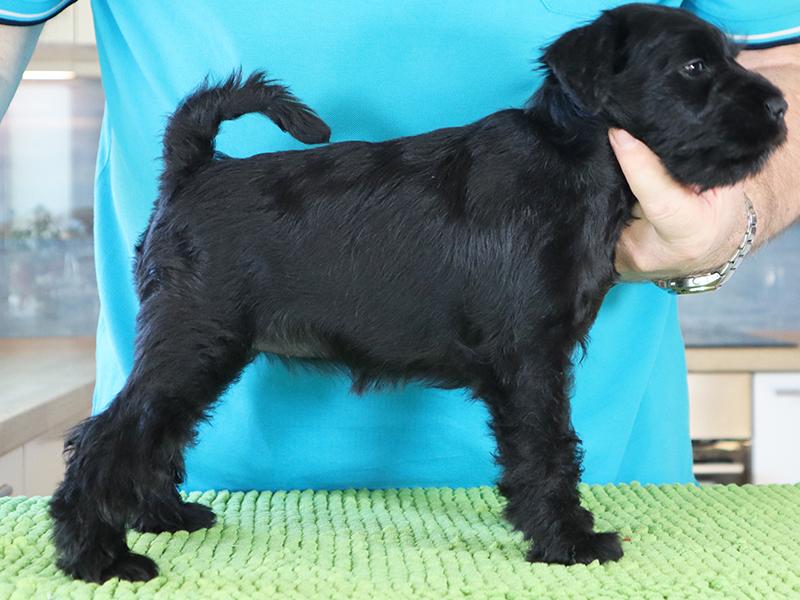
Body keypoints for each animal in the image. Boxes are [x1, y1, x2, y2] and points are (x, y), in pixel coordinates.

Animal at [50, 3, 786, 582]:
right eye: (693, 68)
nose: (780, 107)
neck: (571, 159)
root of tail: (195, 168)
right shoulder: (531, 361)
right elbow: (547, 450)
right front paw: (568, 540)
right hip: (195, 338)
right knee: (109, 437)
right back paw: (98, 555)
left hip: (200, 349)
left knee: (155, 432)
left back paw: (161, 514)